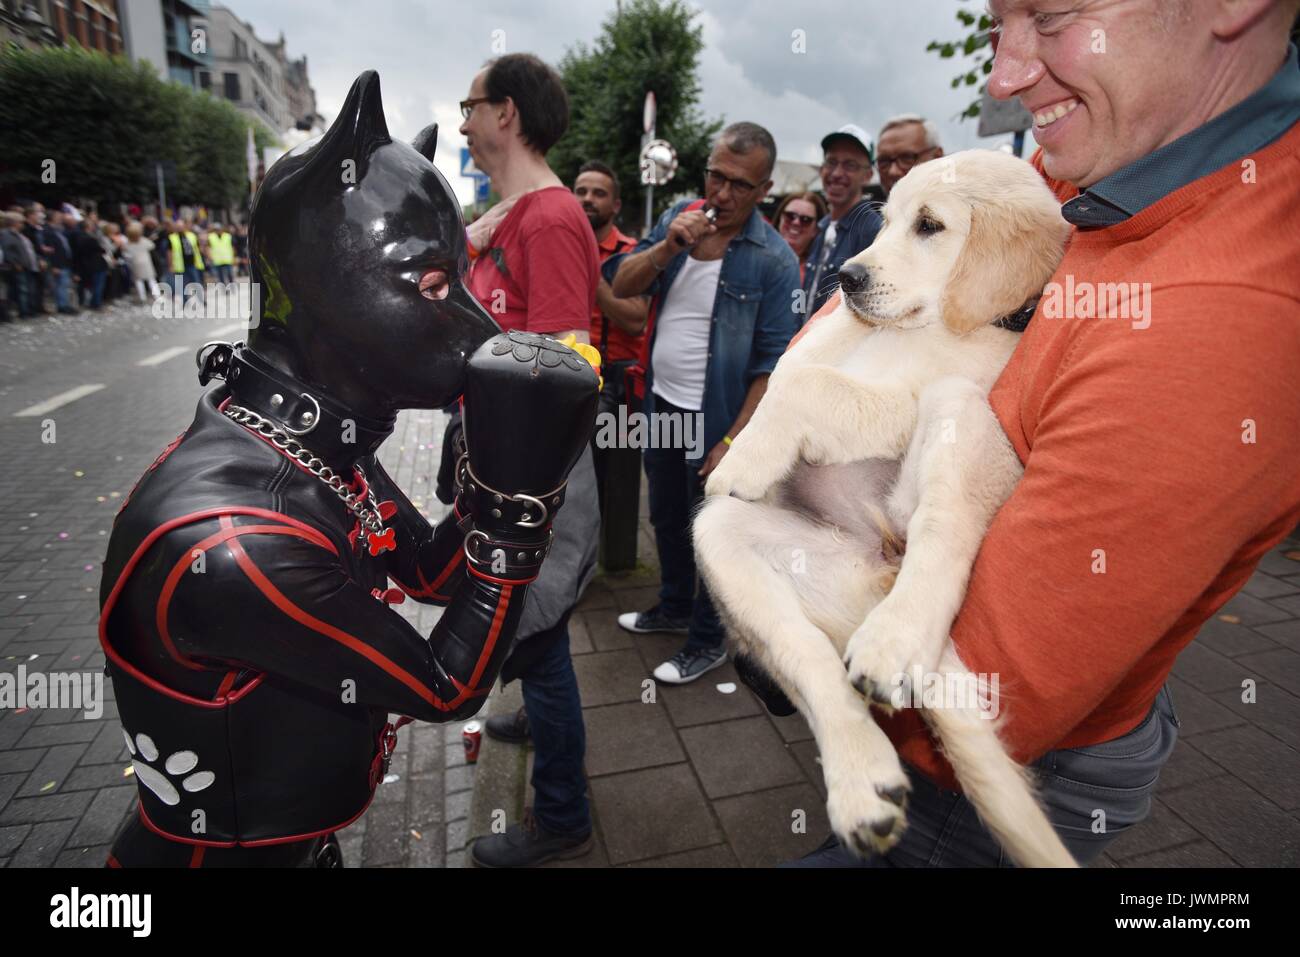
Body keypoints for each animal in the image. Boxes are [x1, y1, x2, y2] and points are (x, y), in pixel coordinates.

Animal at [696, 147, 1071, 868]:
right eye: (888, 220)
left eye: (929, 225)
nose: (846, 276)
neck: (927, 324)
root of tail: (880, 571)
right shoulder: (832, 335)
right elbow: (793, 370)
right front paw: (755, 448)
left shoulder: (909, 396)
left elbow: (808, 384)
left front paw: (743, 460)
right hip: (727, 539)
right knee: (807, 657)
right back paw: (862, 786)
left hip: (958, 414)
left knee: (940, 541)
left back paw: (893, 643)